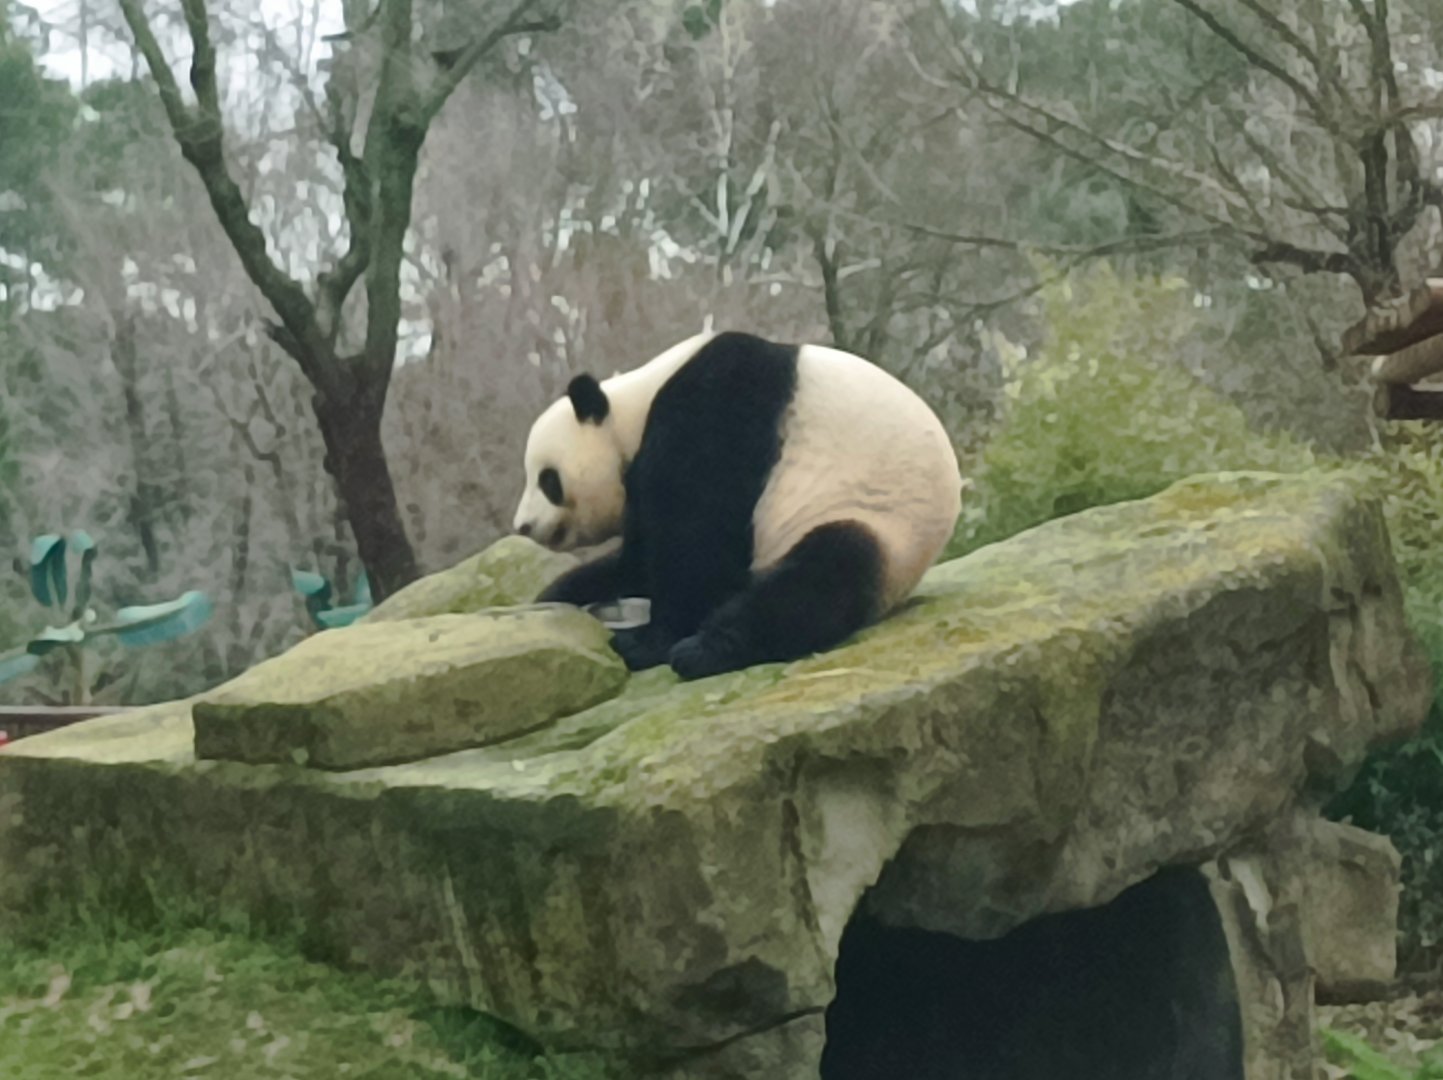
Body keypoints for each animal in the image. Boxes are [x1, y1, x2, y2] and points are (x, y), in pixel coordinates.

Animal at [512, 330, 963, 680]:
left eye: (547, 479)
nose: (523, 527)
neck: (634, 407)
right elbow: (637, 560)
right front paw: (554, 599)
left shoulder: (715, 408)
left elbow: (695, 540)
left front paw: (647, 642)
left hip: (873, 520)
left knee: (819, 578)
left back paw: (704, 651)